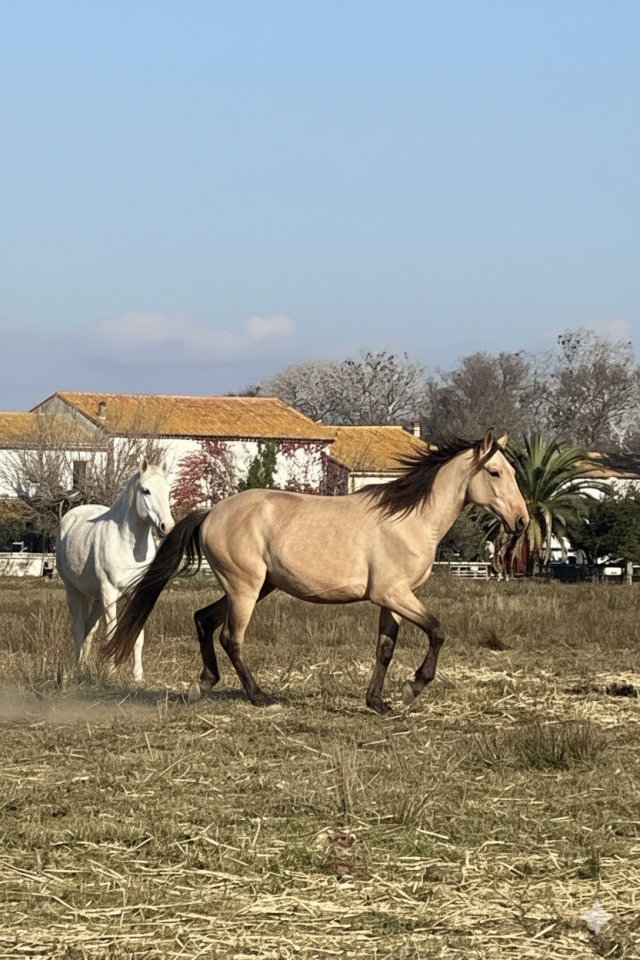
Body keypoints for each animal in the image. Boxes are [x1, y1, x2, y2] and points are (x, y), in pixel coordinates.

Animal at [56, 460, 174, 681]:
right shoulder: (110, 593)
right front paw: (111, 673)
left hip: (96, 598)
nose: (167, 527)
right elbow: (111, 632)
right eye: (146, 490)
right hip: (74, 591)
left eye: (168, 490)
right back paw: (78, 669)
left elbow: (137, 635)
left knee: (89, 629)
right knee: (78, 628)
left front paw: (138, 676)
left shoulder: (135, 592)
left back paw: (84, 666)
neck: (127, 545)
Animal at [103, 430, 528, 713]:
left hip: (258, 587)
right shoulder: (394, 593)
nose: (522, 521)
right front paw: (412, 688)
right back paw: (261, 697)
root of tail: (211, 512)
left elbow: (385, 648)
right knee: (230, 638)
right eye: (494, 472)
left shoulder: (392, 598)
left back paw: (202, 685)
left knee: (204, 619)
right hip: (245, 588)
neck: (409, 519)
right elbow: (438, 631)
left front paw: (378, 702)